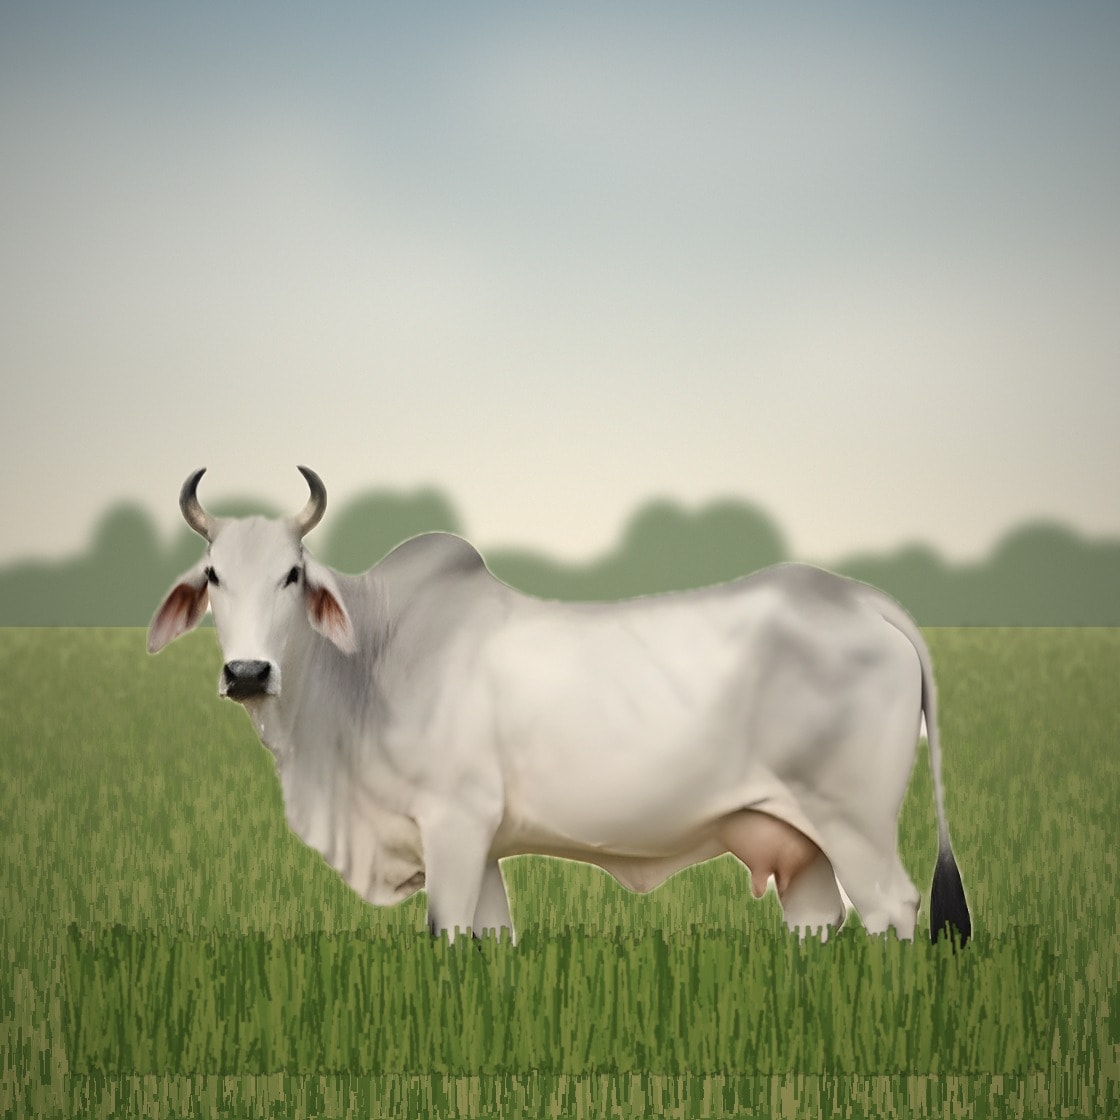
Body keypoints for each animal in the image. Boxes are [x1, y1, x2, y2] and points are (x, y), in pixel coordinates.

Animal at [149, 466, 971, 947]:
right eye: (214, 576)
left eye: (292, 574)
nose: (248, 672)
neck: (371, 661)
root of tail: (859, 599)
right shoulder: (479, 846)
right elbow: (489, 939)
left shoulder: (454, 824)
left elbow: (444, 933)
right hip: (802, 845)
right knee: (817, 923)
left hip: (856, 825)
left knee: (895, 911)